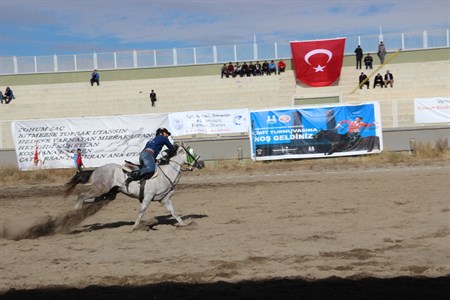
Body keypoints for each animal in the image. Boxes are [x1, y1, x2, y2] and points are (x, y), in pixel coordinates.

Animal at [65, 145, 206, 230]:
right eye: (191, 152)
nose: (202, 163)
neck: (165, 173)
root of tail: (96, 169)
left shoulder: (165, 199)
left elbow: (174, 212)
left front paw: (184, 224)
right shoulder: (148, 197)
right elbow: (142, 211)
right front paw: (135, 227)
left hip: (106, 194)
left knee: (86, 200)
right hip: (100, 189)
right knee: (81, 196)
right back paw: (71, 216)